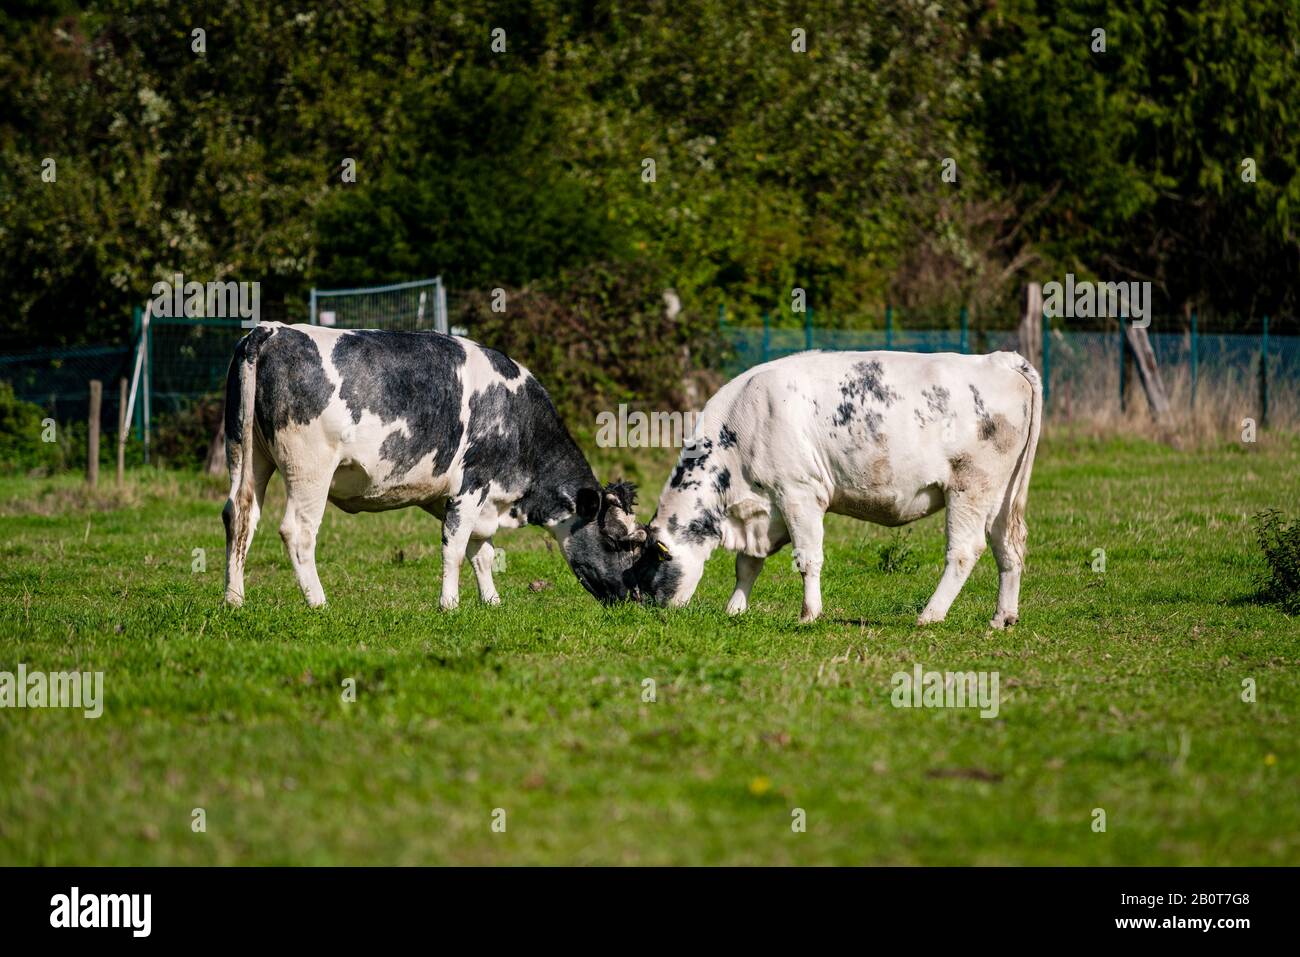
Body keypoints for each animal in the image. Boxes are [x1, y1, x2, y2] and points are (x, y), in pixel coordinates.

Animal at [221, 323, 645, 609]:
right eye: (617, 540)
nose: (635, 598)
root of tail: (271, 330)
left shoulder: (472, 500)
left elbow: (481, 551)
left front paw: (492, 602)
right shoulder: (473, 484)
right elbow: (454, 549)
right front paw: (450, 605)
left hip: (246, 453)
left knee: (240, 514)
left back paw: (234, 599)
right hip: (310, 468)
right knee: (297, 531)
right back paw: (318, 602)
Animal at [630, 350, 1042, 627]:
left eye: (652, 562)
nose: (648, 608)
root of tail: (999, 360)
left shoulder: (799, 494)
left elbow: (808, 559)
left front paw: (809, 614)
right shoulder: (764, 508)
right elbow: (747, 564)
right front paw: (735, 609)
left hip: (970, 486)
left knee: (964, 551)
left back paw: (930, 614)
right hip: (1001, 496)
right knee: (1008, 547)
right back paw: (1002, 617)